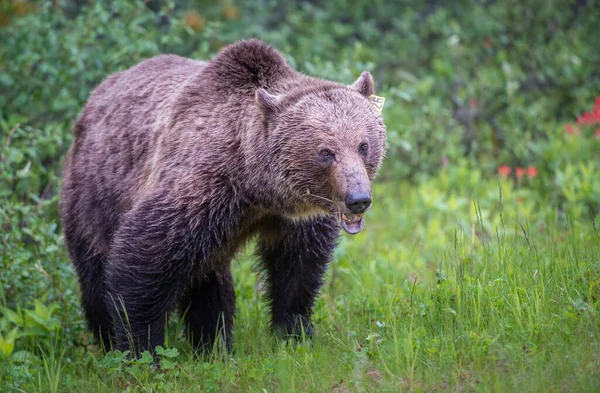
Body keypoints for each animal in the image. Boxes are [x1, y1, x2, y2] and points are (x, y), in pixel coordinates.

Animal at [61, 38, 390, 354]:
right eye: (325, 152)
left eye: (363, 145)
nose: (358, 198)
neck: (257, 188)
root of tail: (96, 96)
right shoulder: (199, 190)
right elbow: (143, 257)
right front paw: (141, 349)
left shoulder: (294, 219)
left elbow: (297, 269)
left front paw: (294, 335)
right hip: (93, 195)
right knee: (94, 273)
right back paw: (106, 338)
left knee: (208, 281)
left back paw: (213, 345)